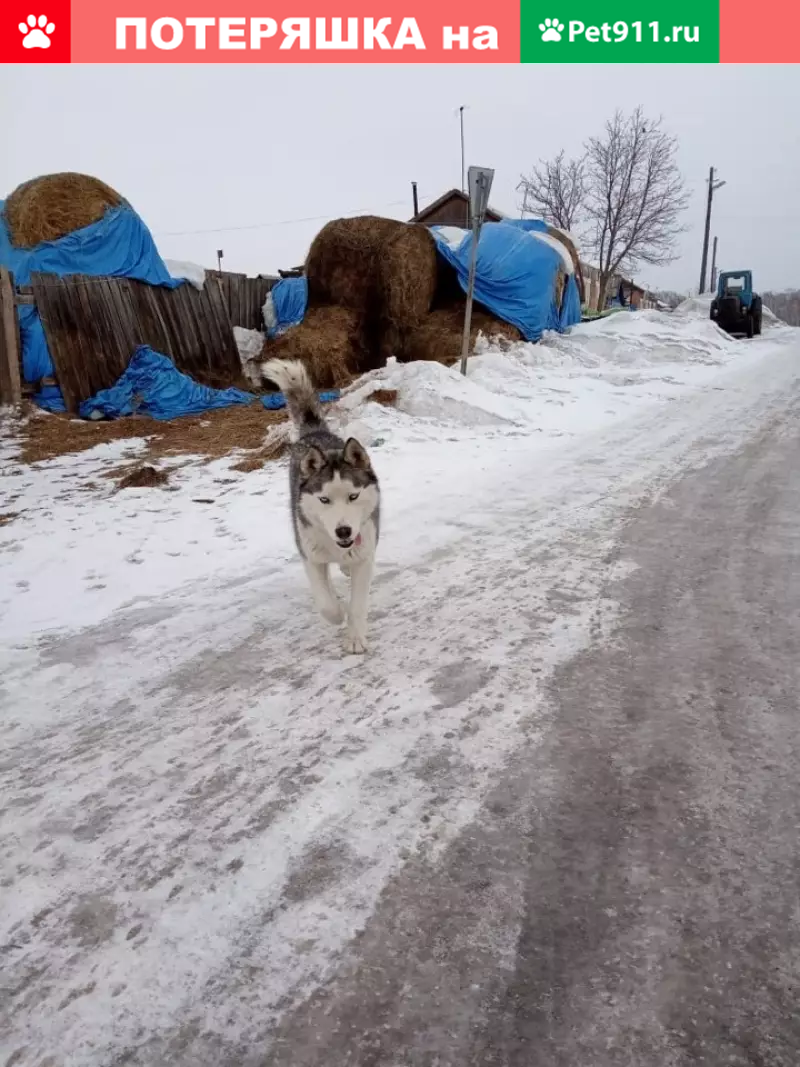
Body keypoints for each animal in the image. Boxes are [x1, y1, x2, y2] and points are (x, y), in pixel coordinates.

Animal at [260, 358, 379, 653]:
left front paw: (355, 636)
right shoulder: (310, 556)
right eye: (324, 499)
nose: (344, 531)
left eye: (353, 496)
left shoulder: (365, 555)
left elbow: (357, 603)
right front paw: (337, 613)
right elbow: (326, 603)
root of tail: (316, 432)